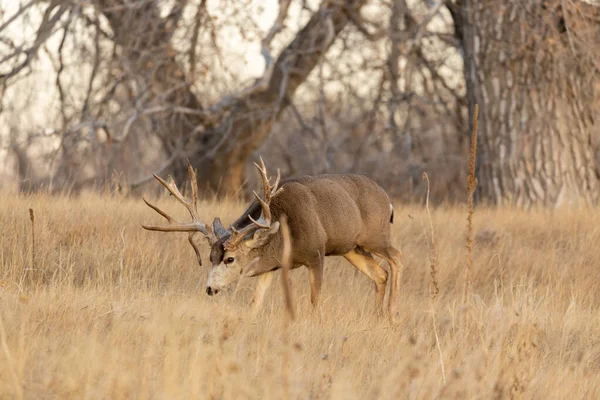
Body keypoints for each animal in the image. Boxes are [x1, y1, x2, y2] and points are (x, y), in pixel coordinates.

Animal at [141, 158, 404, 318]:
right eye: (210, 258)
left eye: (230, 259)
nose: (210, 288)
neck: (285, 229)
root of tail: (387, 200)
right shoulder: (271, 266)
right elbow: (255, 302)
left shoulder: (316, 253)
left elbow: (314, 300)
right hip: (351, 248)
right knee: (380, 273)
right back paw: (377, 316)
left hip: (376, 236)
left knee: (397, 257)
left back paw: (392, 314)